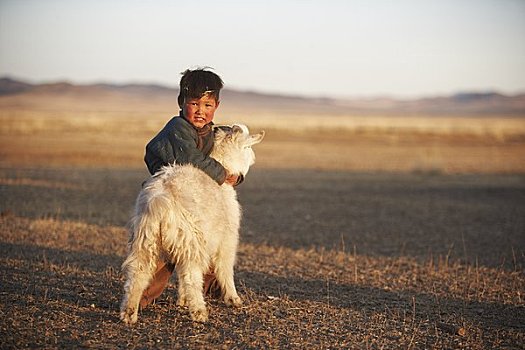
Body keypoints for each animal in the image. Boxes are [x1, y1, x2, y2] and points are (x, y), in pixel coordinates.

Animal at [121, 124, 264, 324]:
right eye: (248, 146)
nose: (253, 159)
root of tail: (161, 199)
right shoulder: (227, 238)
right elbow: (225, 268)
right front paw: (234, 299)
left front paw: (181, 301)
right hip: (192, 241)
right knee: (191, 275)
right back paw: (199, 312)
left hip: (145, 240)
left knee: (138, 274)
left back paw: (129, 313)